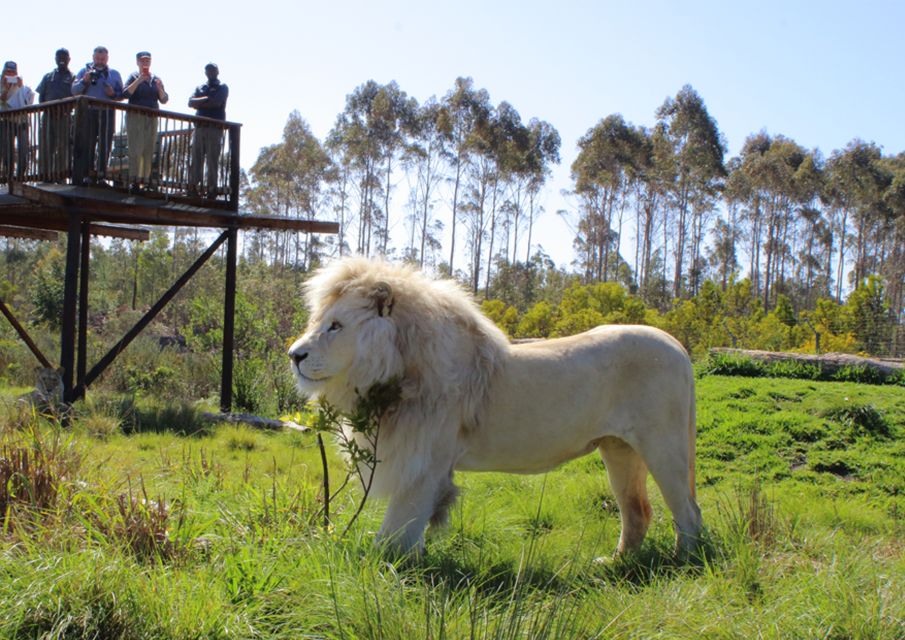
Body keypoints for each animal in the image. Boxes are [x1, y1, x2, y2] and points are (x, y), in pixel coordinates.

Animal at [288, 256, 700, 556]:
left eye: (336, 326)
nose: (294, 355)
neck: (400, 366)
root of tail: (677, 346)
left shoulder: (423, 462)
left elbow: (398, 529)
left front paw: (384, 568)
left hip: (663, 446)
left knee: (688, 511)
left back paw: (684, 562)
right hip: (620, 449)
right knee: (638, 511)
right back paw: (616, 562)